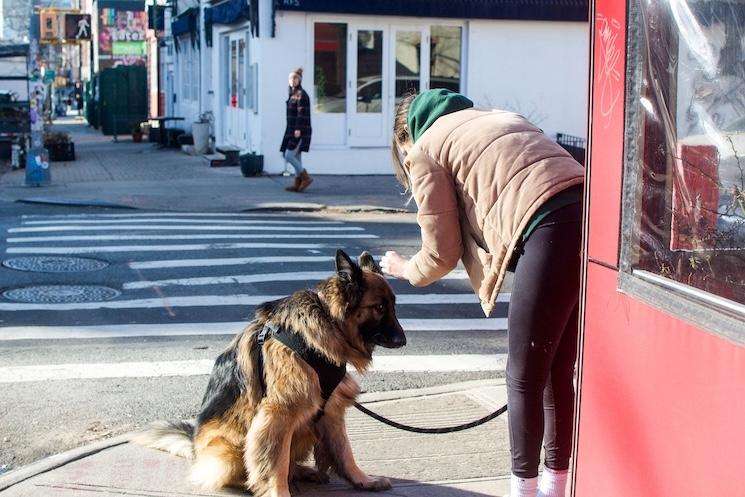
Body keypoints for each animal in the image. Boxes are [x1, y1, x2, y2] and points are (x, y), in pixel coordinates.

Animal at [131, 250, 404, 496]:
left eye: (393, 306)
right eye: (379, 307)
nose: (403, 340)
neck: (327, 323)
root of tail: (194, 446)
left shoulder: (331, 409)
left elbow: (344, 451)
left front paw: (362, 480)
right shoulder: (277, 414)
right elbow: (274, 464)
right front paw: (278, 492)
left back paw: (304, 471)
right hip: (228, 450)